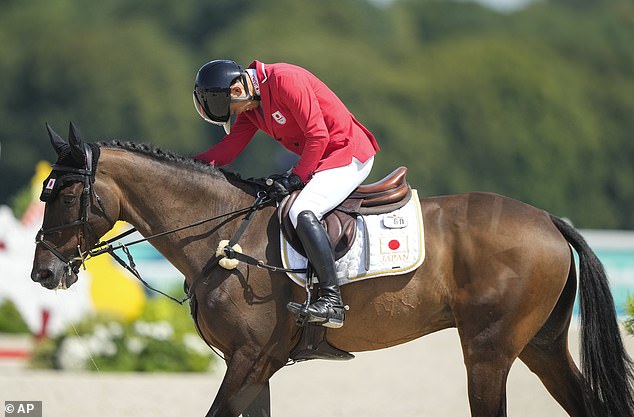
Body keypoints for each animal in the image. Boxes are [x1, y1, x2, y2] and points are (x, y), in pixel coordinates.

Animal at [30, 123, 632, 416]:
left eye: (63, 195)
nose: (43, 274)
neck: (222, 233)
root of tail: (550, 221)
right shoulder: (256, 365)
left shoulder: (250, 359)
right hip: (541, 345)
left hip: (488, 351)